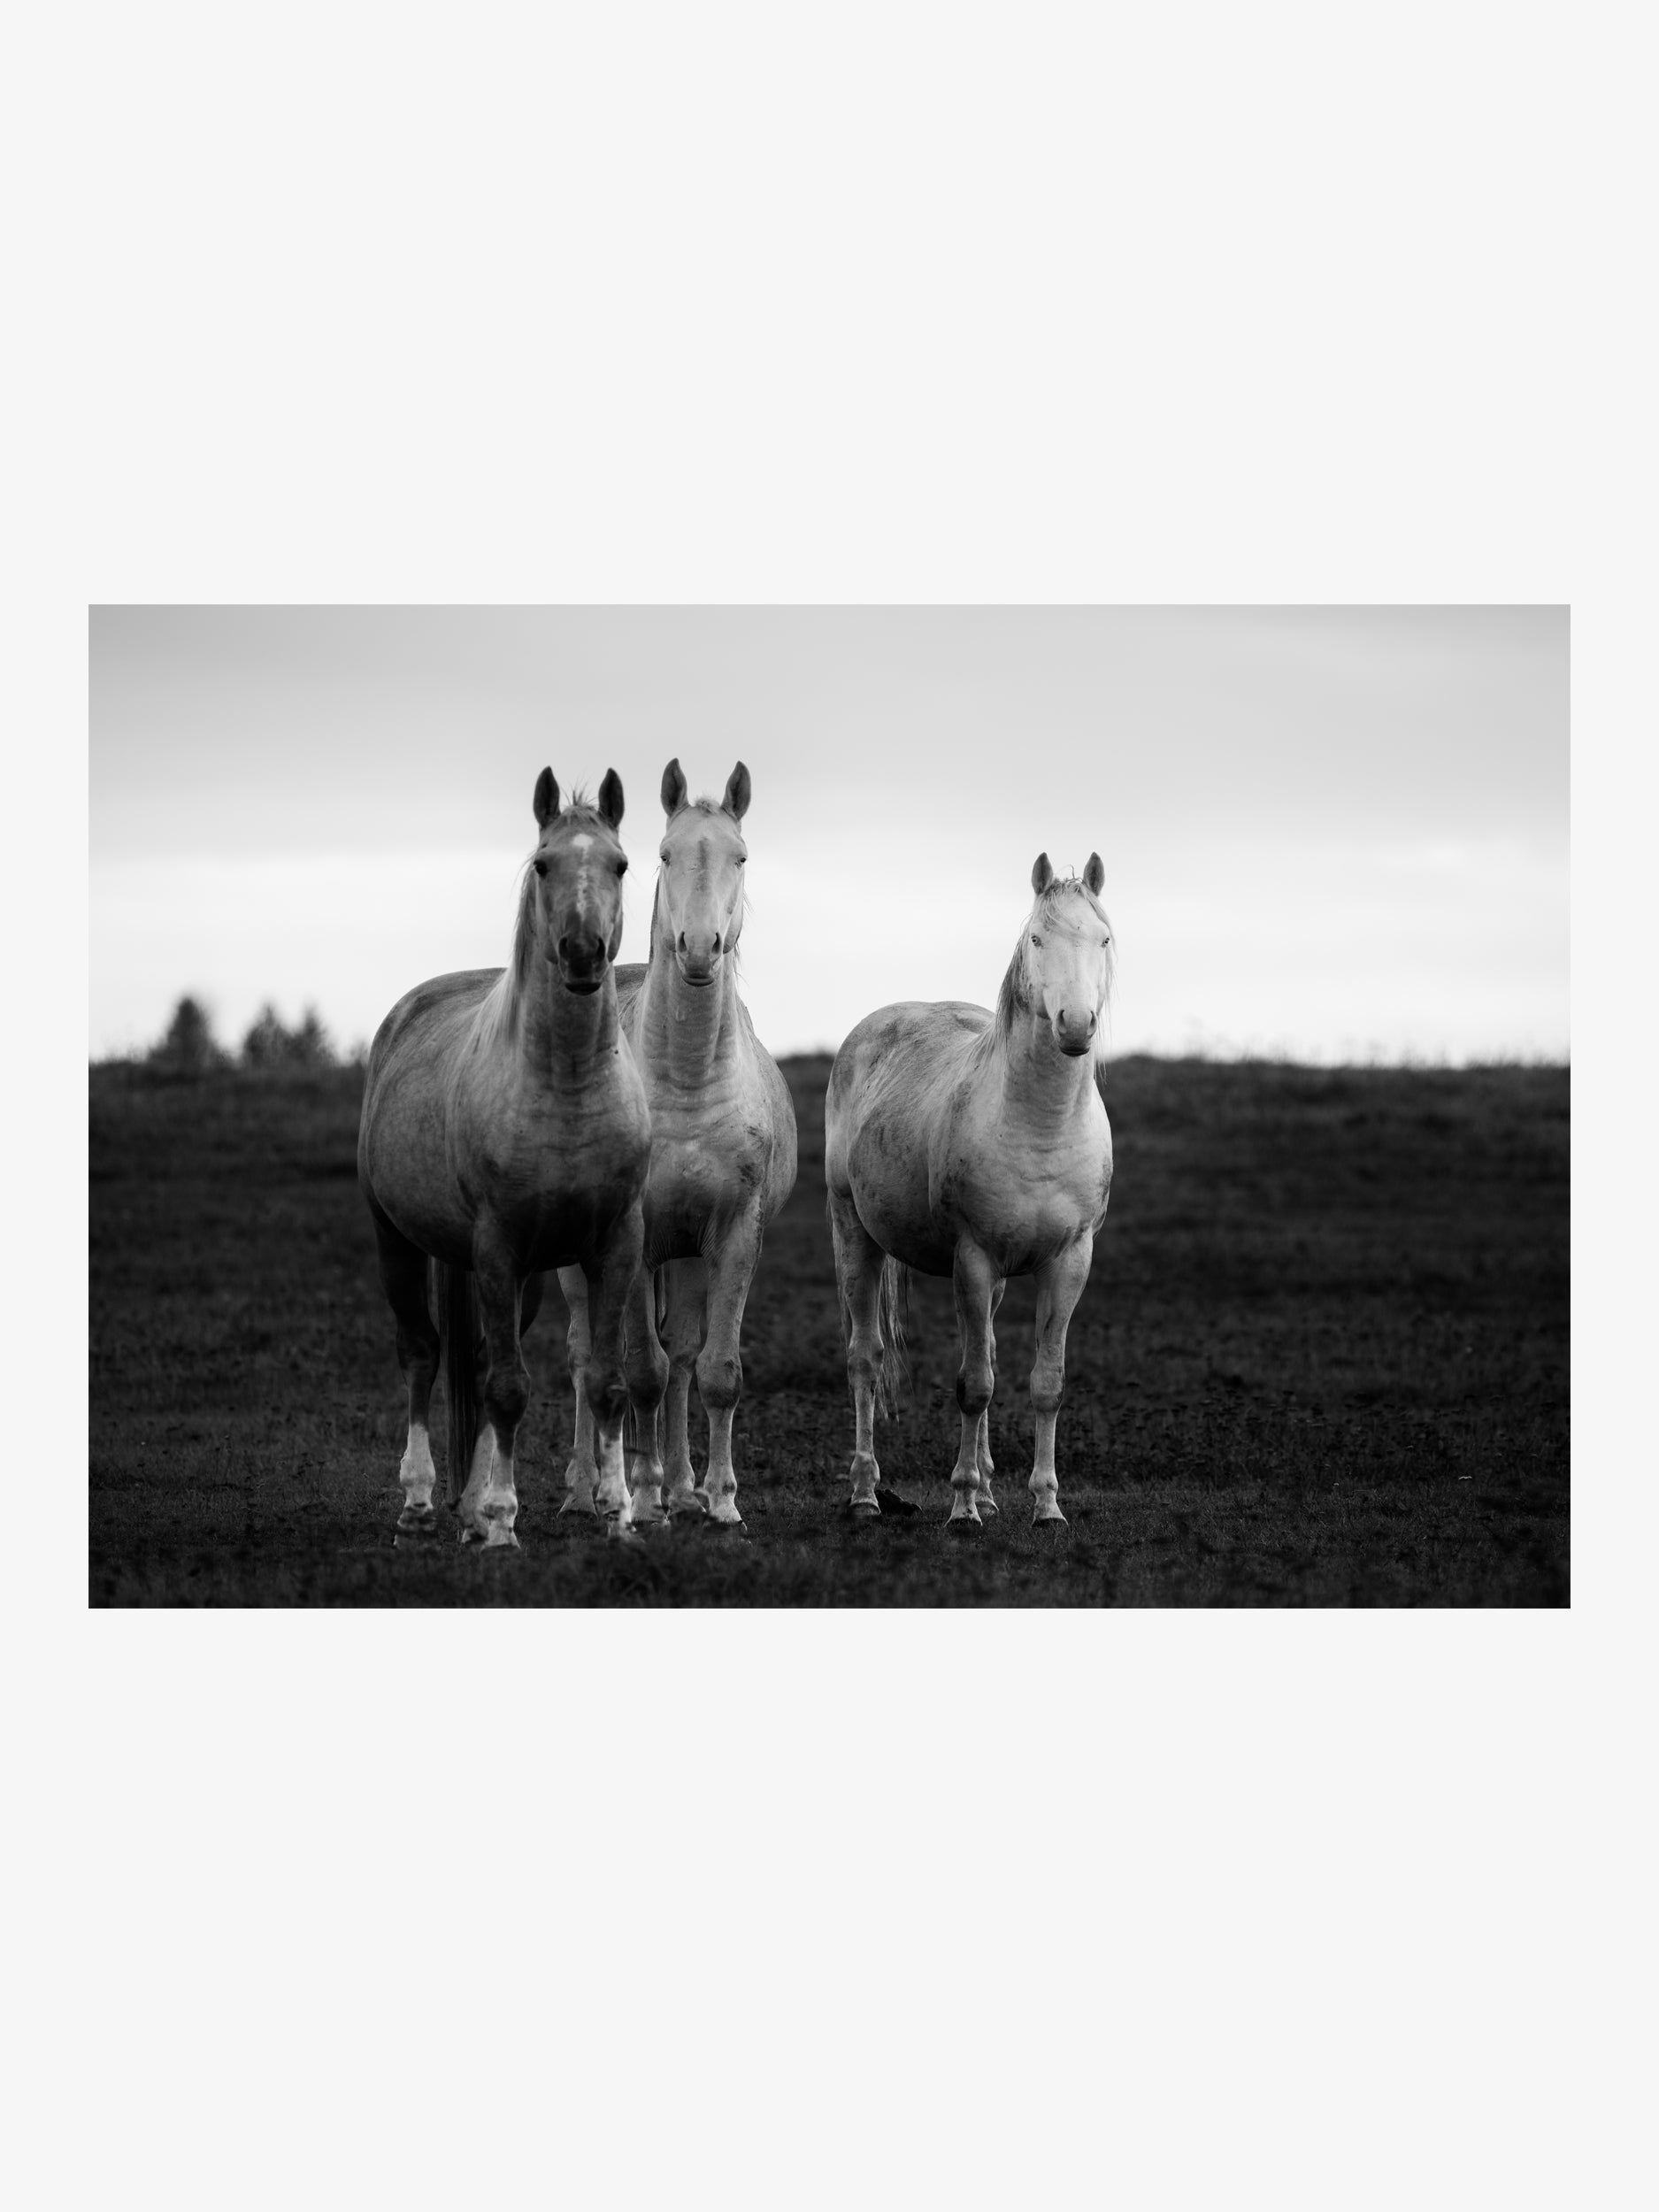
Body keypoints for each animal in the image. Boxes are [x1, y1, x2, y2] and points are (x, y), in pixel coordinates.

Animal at [357, 767, 665, 1548]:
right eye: (544, 864)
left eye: (620, 864)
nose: (583, 952)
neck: (566, 1088)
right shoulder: (496, 1246)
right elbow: (506, 1389)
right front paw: (501, 1522)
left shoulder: (615, 1243)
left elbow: (607, 1383)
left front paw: (618, 1512)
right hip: (397, 1240)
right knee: (423, 1354)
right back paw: (421, 1500)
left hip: (517, 1279)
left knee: (471, 1357)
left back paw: (464, 1505)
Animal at [557, 759, 798, 1530]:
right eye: (663, 855)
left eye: (740, 857)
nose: (698, 947)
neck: (687, 1082)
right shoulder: (634, 1235)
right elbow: (640, 1371)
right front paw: (640, 1500)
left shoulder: (733, 1233)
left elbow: (712, 1369)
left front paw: (719, 1502)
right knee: (588, 1358)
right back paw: (590, 1489)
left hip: (686, 1255)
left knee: (683, 1355)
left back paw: (682, 1485)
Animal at [824, 850, 1114, 1527]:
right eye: (1037, 939)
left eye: (1103, 939)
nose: (1076, 1024)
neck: (1040, 1126)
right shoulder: (973, 1259)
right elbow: (973, 1385)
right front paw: (961, 1509)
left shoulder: (1070, 1260)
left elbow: (1044, 1383)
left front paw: (1045, 1505)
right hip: (853, 1233)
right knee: (865, 1359)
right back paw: (865, 1494)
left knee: (988, 1351)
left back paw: (986, 1485)